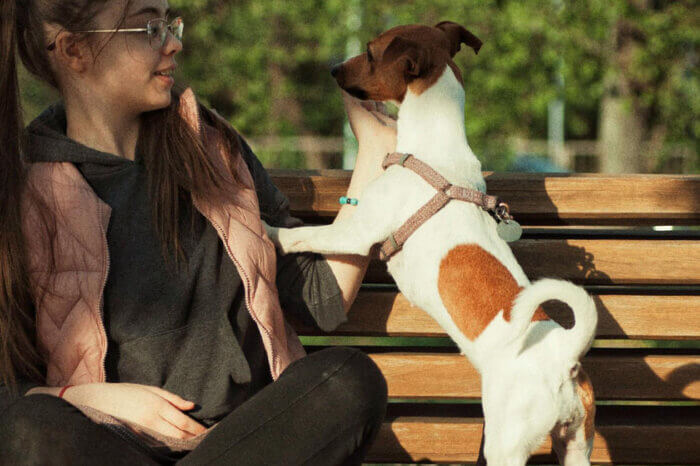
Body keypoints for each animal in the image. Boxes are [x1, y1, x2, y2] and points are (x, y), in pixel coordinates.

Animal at [266, 21, 600, 466]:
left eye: (369, 52)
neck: (432, 150)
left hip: (507, 444)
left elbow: (300, 235)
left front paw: (266, 229)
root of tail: (564, 355)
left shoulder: (355, 233)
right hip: (577, 443)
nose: (334, 68)